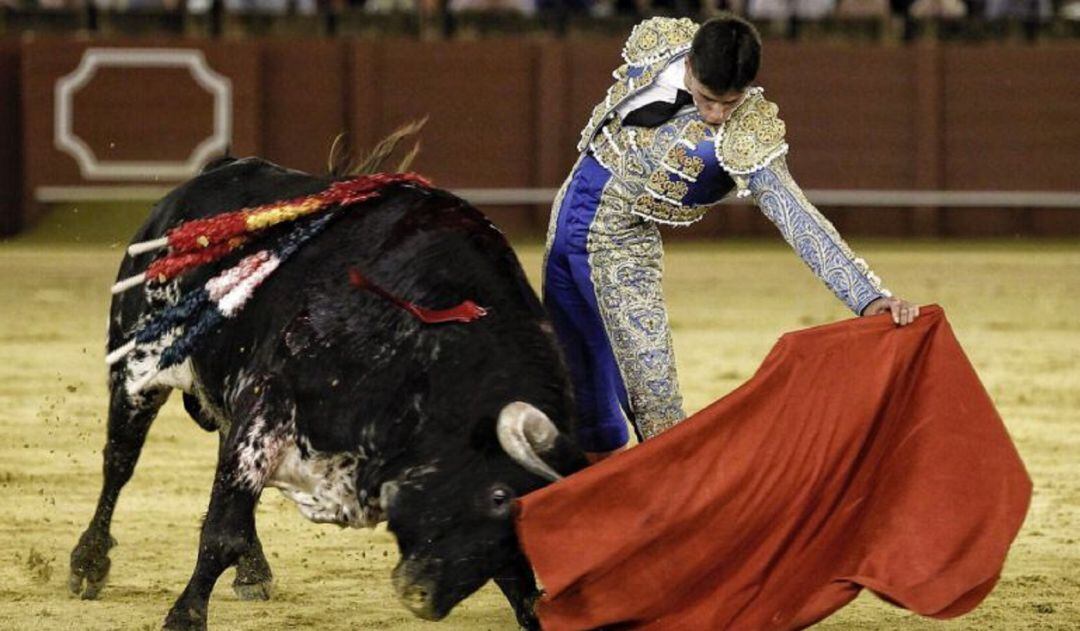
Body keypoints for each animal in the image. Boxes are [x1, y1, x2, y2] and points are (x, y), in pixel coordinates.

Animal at [68, 154, 587, 631]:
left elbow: (519, 581)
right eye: (498, 496)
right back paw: (89, 563)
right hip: (137, 369)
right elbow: (220, 532)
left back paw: (252, 571)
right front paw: (185, 616)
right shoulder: (268, 403)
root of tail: (209, 175)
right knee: (120, 463)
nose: (424, 599)